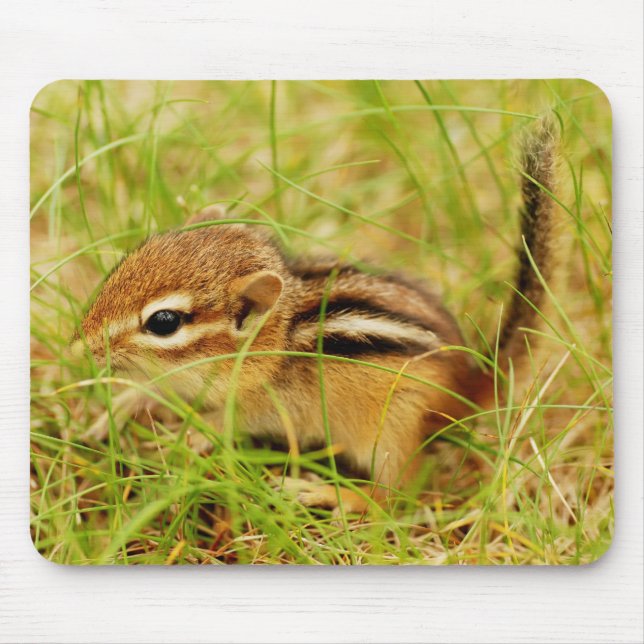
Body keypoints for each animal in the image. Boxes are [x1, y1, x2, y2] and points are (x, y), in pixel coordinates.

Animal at [72, 116, 558, 513]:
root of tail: (474, 381)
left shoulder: (268, 406)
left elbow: (224, 422)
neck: (275, 341)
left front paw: (182, 437)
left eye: (164, 322)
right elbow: (153, 390)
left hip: (393, 430)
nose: (81, 346)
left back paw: (325, 493)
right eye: (130, 261)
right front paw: (116, 410)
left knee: (396, 495)